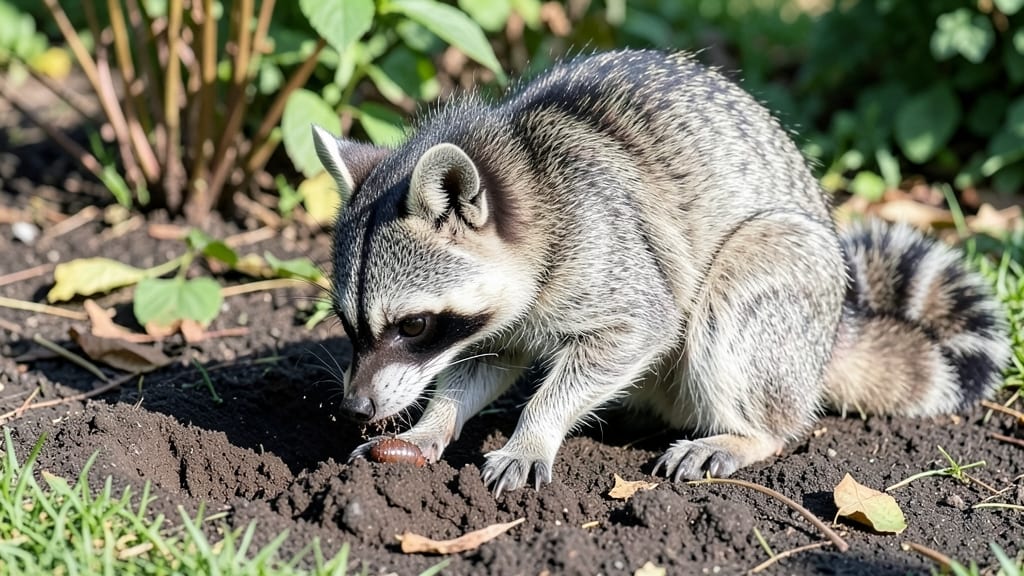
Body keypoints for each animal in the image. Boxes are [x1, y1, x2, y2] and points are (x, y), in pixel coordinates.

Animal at [311, 49, 1009, 496]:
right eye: (347, 324)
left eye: (413, 325)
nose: (356, 406)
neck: (522, 171)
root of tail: (825, 340)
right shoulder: (500, 315)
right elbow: (479, 365)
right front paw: (434, 422)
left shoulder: (607, 252)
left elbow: (638, 331)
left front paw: (535, 429)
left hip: (791, 280)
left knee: (735, 296)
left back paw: (754, 434)